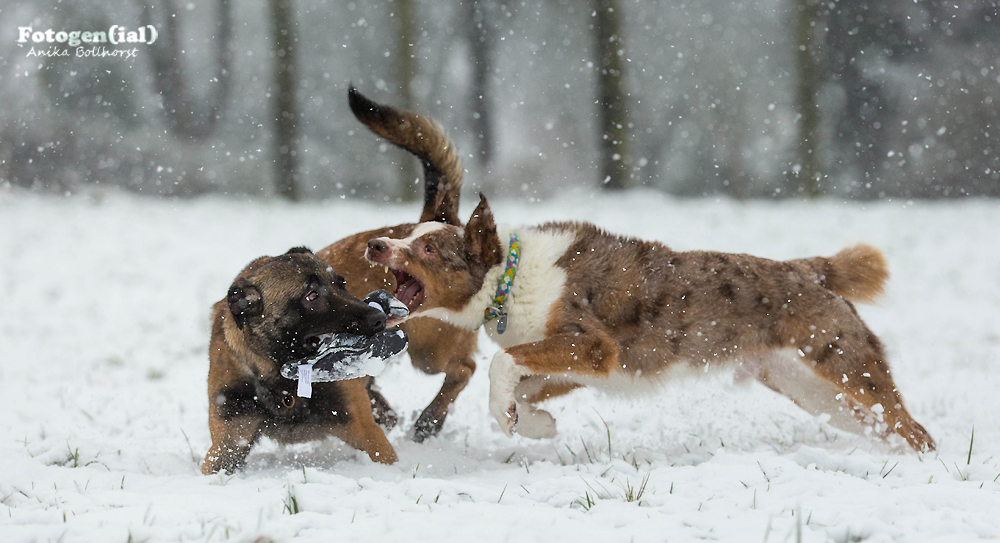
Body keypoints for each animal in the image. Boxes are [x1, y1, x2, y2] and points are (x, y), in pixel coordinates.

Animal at [368, 196, 936, 450]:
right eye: (405, 232)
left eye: (428, 247)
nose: (375, 245)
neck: (508, 278)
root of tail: (809, 269)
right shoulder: (577, 365)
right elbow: (523, 384)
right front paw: (534, 424)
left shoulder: (593, 347)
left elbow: (502, 364)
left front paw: (511, 419)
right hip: (813, 389)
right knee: (889, 427)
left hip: (843, 366)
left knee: (914, 427)